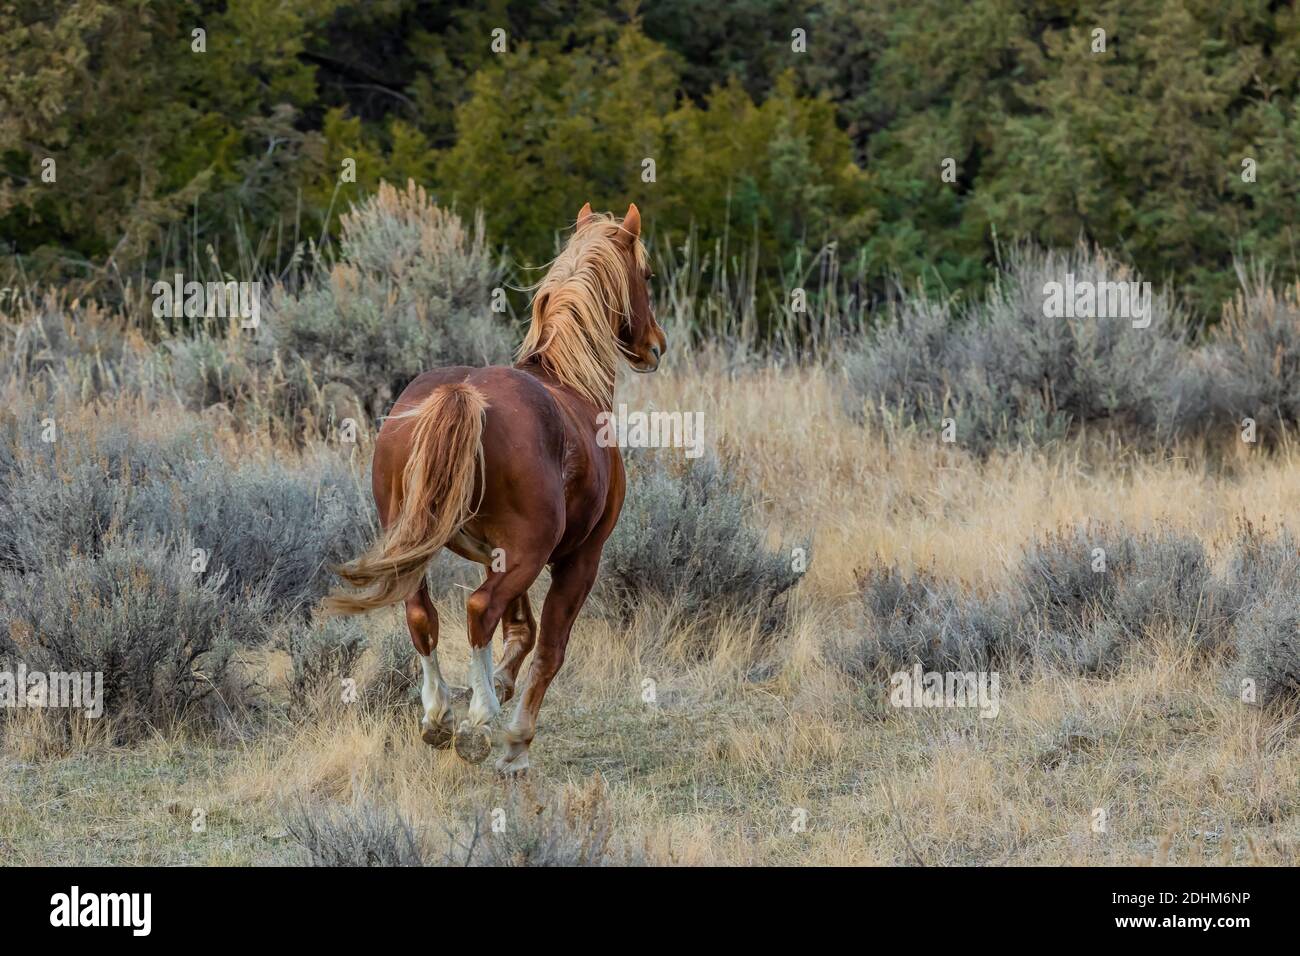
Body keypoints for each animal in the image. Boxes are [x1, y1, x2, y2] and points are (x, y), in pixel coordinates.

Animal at [325, 204, 670, 780]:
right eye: (646, 274)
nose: (655, 346)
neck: (568, 379)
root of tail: (461, 394)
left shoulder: (496, 555)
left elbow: (520, 632)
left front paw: (497, 688)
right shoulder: (579, 558)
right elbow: (548, 647)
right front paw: (516, 741)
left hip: (421, 544)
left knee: (423, 615)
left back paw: (440, 715)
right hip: (530, 555)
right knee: (478, 610)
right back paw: (479, 725)